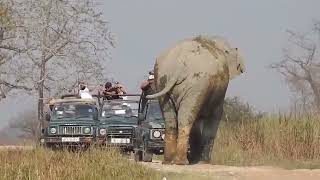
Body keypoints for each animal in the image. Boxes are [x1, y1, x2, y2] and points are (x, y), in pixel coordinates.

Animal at [146, 34, 246, 165]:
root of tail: (179, 63)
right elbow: (216, 115)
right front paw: (203, 162)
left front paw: (195, 159)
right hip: (197, 84)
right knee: (185, 118)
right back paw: (181, 162)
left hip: (162, 81)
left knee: (171, 119)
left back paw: (169, 161)